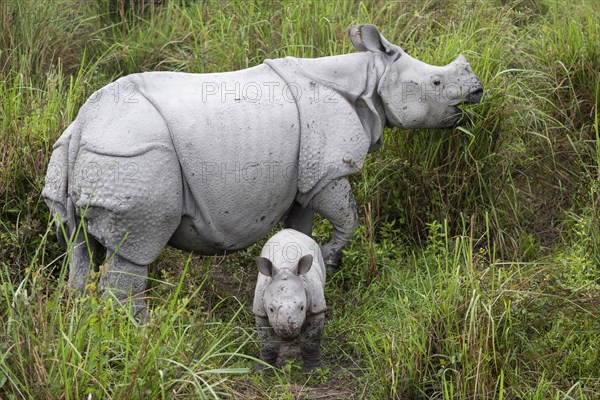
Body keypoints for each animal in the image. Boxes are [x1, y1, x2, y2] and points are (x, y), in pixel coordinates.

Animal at [42, 24, 482, 316]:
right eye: (437, 82)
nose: (478, 90)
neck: (370, 78)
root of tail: (83, 125)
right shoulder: (328, 169)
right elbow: (348, 218)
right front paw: (332, 258)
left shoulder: (305, 175)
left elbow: (300, 229)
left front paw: (309, 271)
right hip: (134, 156)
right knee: (133, 248)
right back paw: (140, 330)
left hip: (76, 153)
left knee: (77, 242)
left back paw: (84, 320)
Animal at [254, 230, 328, 374]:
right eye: (271, 309)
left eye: (302, 307)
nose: (287, 331)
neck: (285, 268)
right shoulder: (260, 312)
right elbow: (267, 343)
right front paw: (263, 372)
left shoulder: (316, 308)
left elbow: (310, 342)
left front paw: (313, 371)